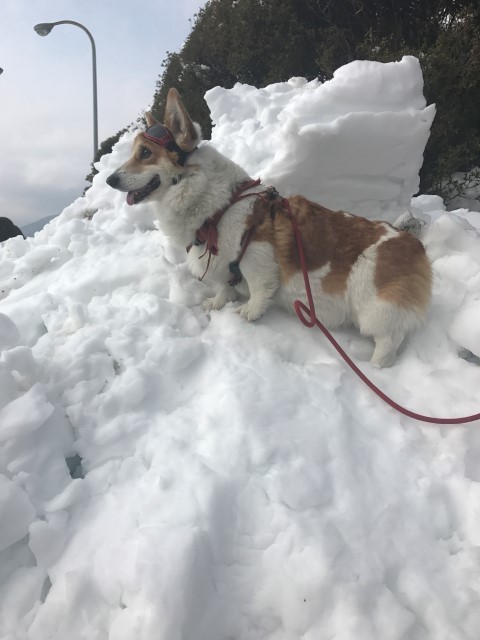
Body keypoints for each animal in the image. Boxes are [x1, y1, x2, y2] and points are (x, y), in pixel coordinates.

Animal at [108, 88, 432, 368]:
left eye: (145, 153)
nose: (110, 180)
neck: (218, 206)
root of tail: (414, 243)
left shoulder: (256, 254)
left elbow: (258, 288)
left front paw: (250, 311)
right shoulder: (223, 265)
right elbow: (224, 286)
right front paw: (218, 302)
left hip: (374, 306)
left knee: (388, 343)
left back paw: (373, 368)